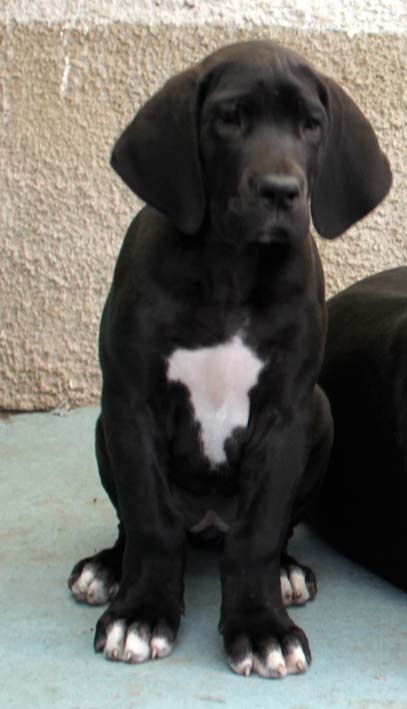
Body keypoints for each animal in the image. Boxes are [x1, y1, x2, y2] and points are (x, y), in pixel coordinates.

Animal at [68, 40, 391, 678]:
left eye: (310, 125)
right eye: (228, 119)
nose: (281, 190)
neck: (231, 269)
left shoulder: (286, 417)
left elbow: (259, 534)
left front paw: (263, 628)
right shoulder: (132, 405)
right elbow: (150, 521)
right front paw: (141, 614)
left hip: (322, 414)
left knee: (270, 530)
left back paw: (288, 572)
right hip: (103, 427)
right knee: (134, 523)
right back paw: (108, 566)